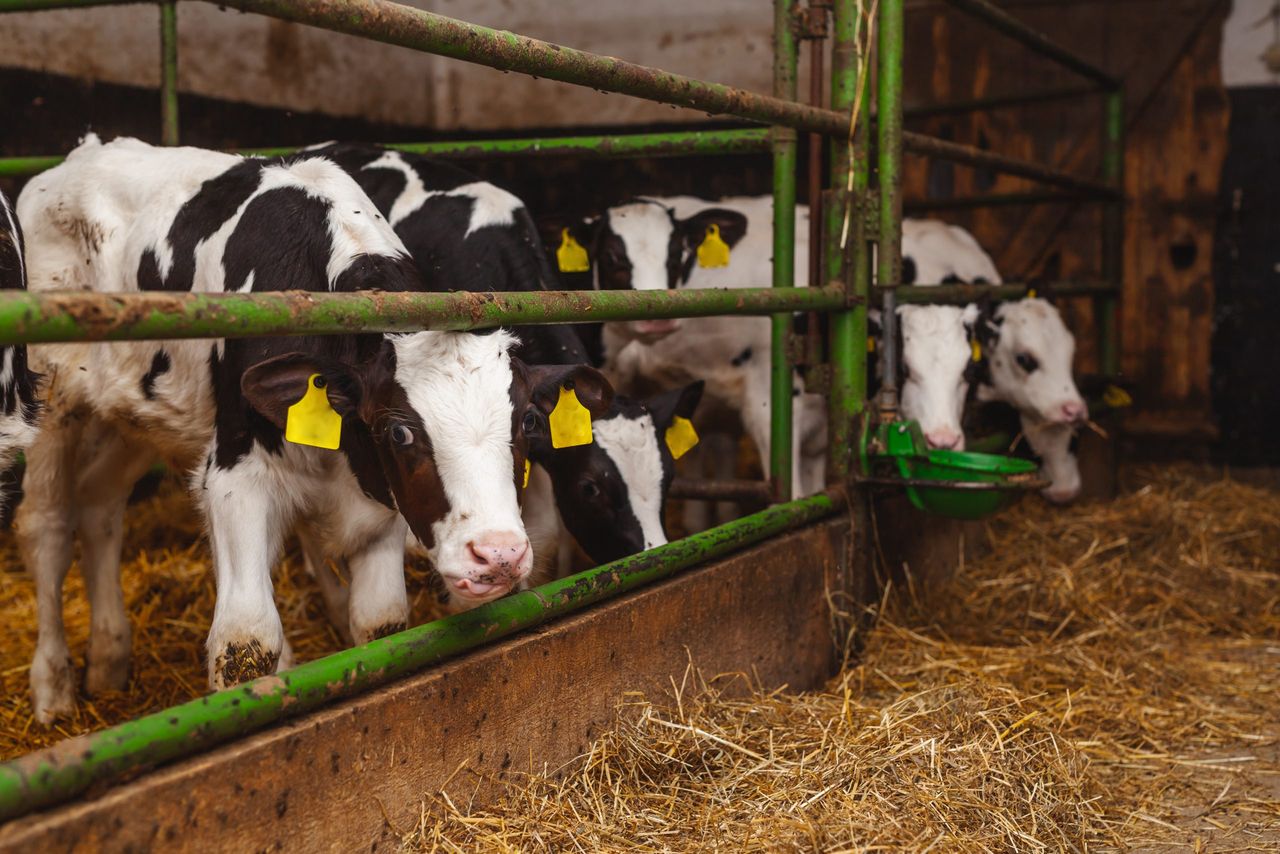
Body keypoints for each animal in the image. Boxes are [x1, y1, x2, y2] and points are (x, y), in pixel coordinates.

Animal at [17, 135, 611, 721]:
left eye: (528, 420)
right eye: (399, 432)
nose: (500, 555)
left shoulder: (378, 496)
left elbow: (381, 622)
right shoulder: (235, 477)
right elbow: (246, 643)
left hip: (139, 411)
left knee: (99, 499)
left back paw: (108, 659)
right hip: (49, 400)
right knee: (47, 527)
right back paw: (53, 690)